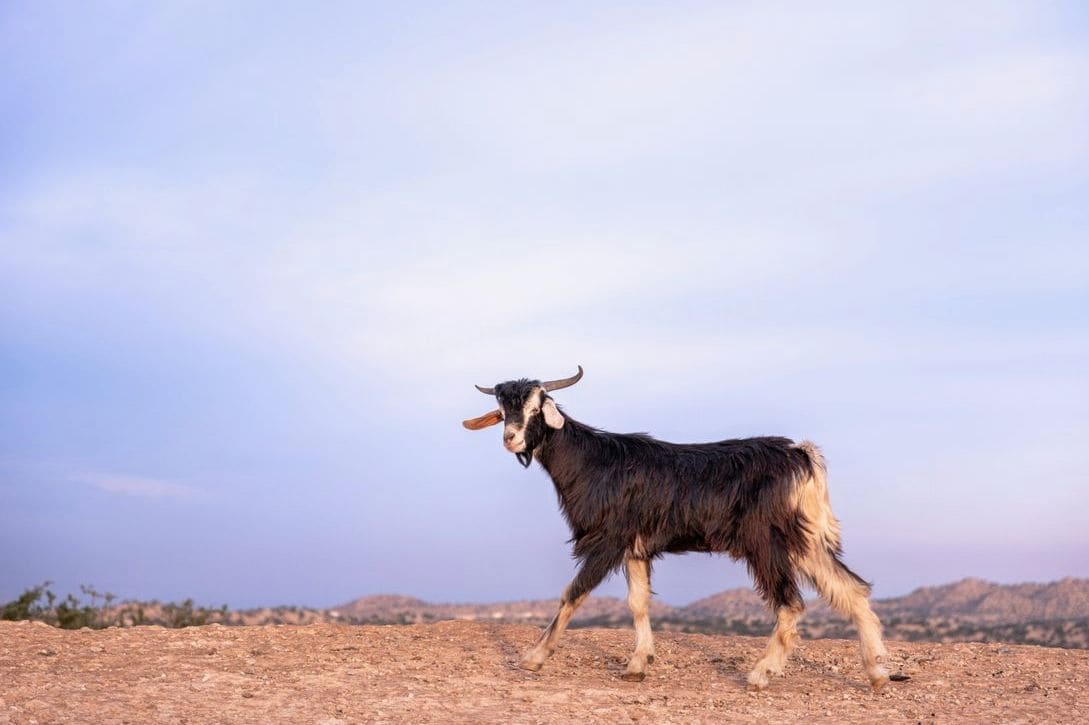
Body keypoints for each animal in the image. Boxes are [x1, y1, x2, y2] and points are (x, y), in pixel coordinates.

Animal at [463, 366, 888, 690]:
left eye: (537, 408)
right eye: (502, 409)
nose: (510, 438)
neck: (589, 461)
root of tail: (801, 454)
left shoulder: (607, 539)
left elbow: (573, 592)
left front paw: (534, 657)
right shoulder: (635, 547)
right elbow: (638, 603)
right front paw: (638, 664)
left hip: (765, 540)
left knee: (791, 602)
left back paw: (761, 673)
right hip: (804, 539)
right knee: (851, 588)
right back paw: (878, 671)